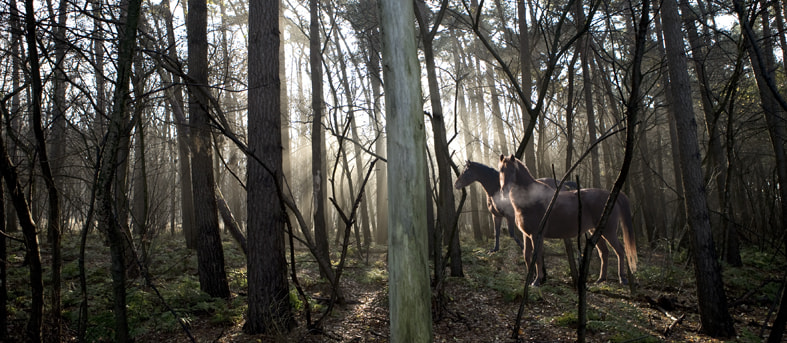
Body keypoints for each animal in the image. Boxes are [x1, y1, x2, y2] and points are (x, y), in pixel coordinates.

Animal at [502, 155, 636, 286]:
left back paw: (622, 278)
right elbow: (527, 255)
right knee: (604, 252)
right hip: (596, 231)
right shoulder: (526, 235)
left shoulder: (536, 235)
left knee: (620, 250)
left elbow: (538, 257)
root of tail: (610, 195)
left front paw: (536, 281)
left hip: (608, 231)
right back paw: (601, 279)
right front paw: (530, 280)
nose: (504, 190)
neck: (531, 200)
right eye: (502, 170)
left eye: (512, 170)